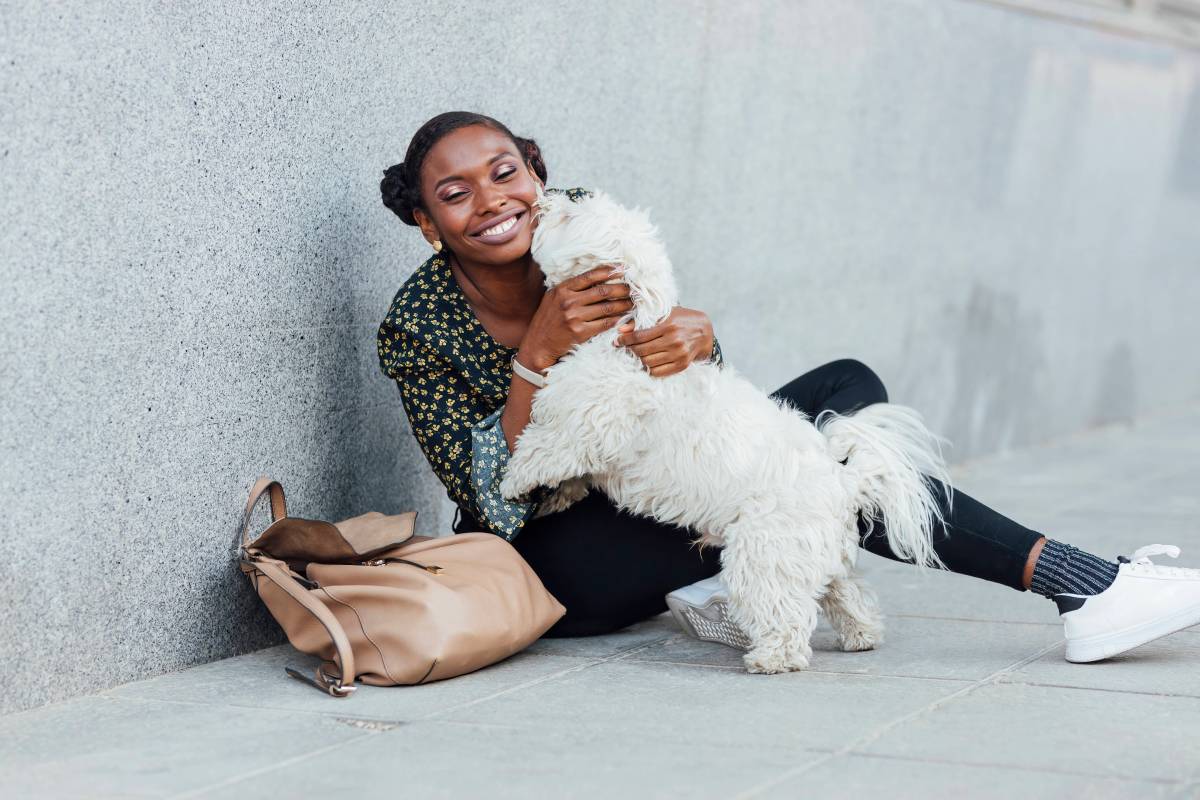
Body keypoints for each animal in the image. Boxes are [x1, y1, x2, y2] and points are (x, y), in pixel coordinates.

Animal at [501, 189, 950, 676]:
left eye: (569, 216)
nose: (545, 197)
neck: (622, 331)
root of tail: (843, 479)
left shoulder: (591, 422)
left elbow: (545, 448)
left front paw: (513, 480)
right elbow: (569, 468)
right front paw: (558, 496)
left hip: (765, 553)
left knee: (786, 613)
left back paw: (772, 658)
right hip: (816, 553)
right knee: (846, 593)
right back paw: (861, 635)